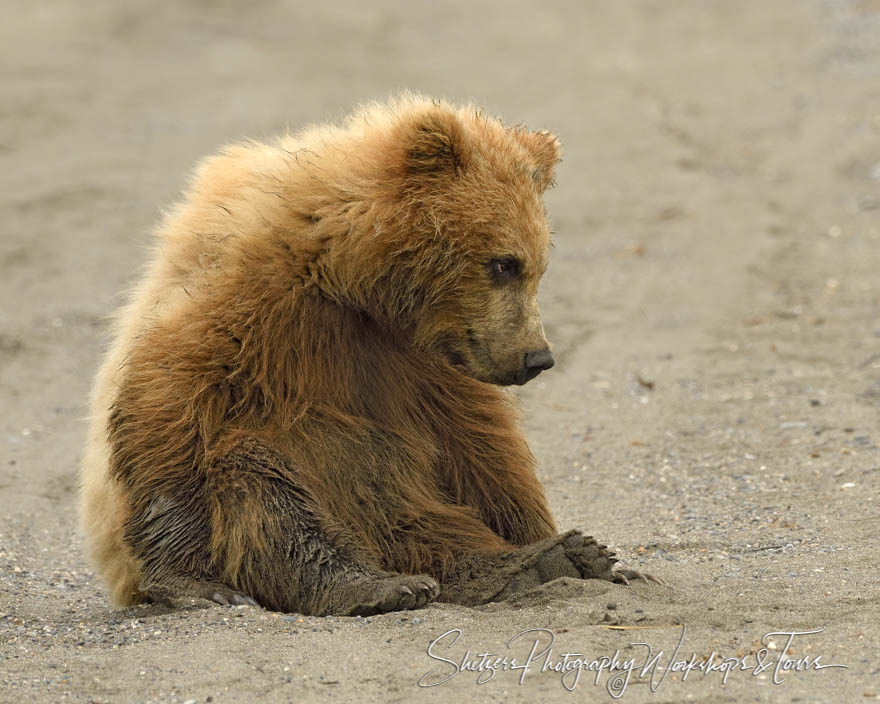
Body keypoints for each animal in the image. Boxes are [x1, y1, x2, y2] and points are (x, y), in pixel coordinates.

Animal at [82, 95, 656, 616]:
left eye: (537, 266)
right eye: (502, 263)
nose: (537, 357)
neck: (349, 280)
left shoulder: (421, 362)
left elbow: (483, 446)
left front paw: (582, 550)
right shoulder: (249, 309)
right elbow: (169, 405)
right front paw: (195, 583)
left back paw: (548, 560)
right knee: (262, 477)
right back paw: (378, 584)